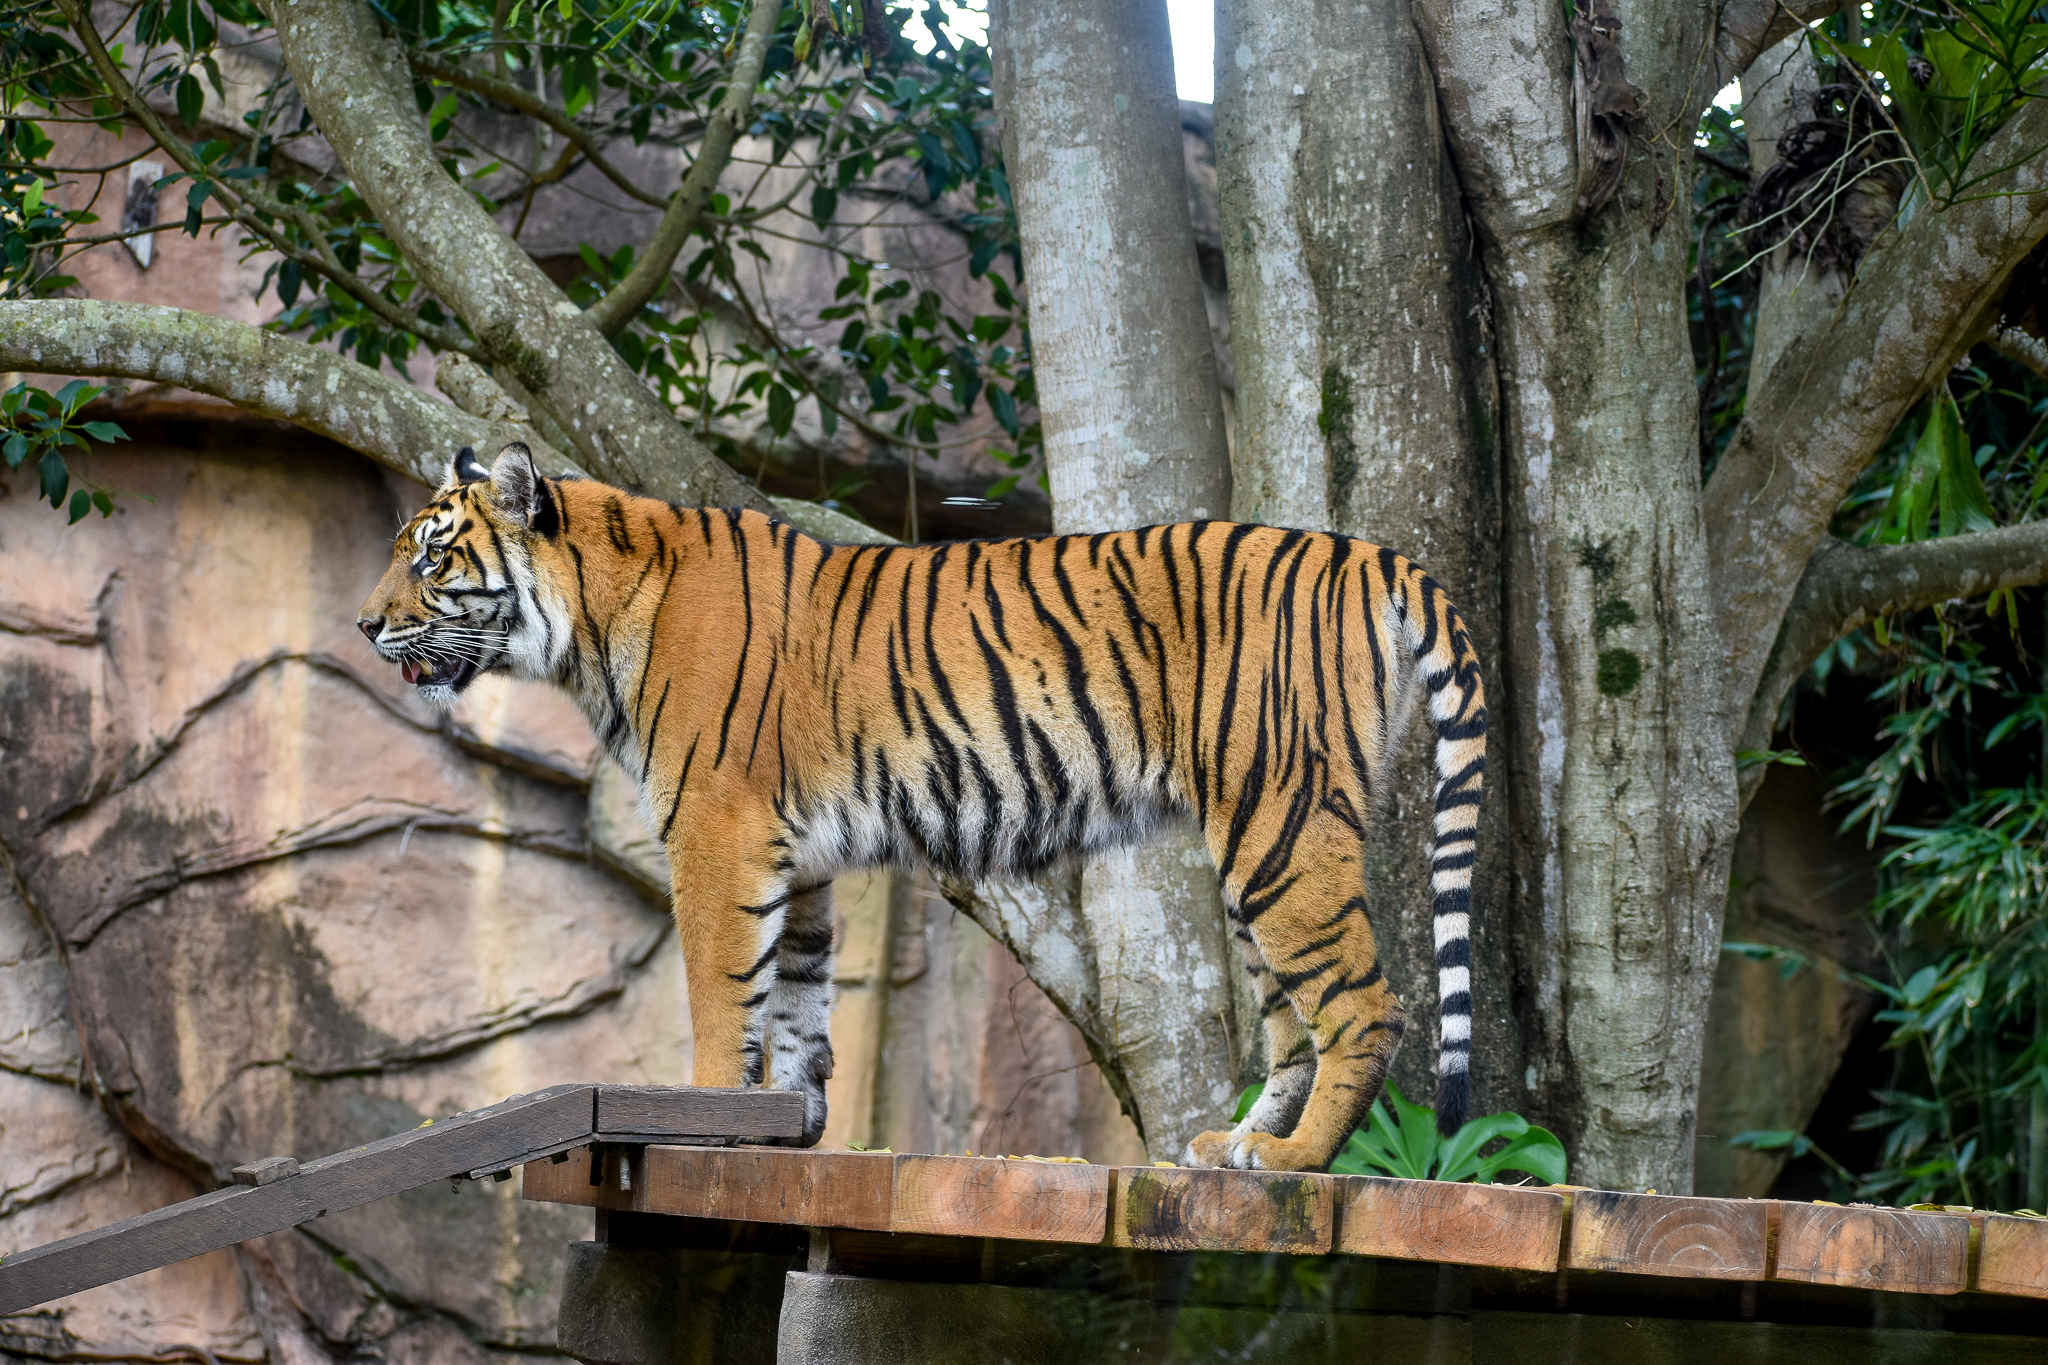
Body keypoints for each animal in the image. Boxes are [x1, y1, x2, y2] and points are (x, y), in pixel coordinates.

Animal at [356, 442, 1486, 1171]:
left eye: (431, 558)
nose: (365, 625)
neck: (591, 622)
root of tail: (1366, 551)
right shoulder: (793, 856)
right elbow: (798, 995)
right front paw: (792, 1122)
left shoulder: (717, 830)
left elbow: (722, 992)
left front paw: (703, 1114)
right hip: (1257, 842)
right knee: (1292, 1022)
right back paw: (1242, 1146)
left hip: (1280, 821)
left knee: (1365, 1007)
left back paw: (1295, 1164)